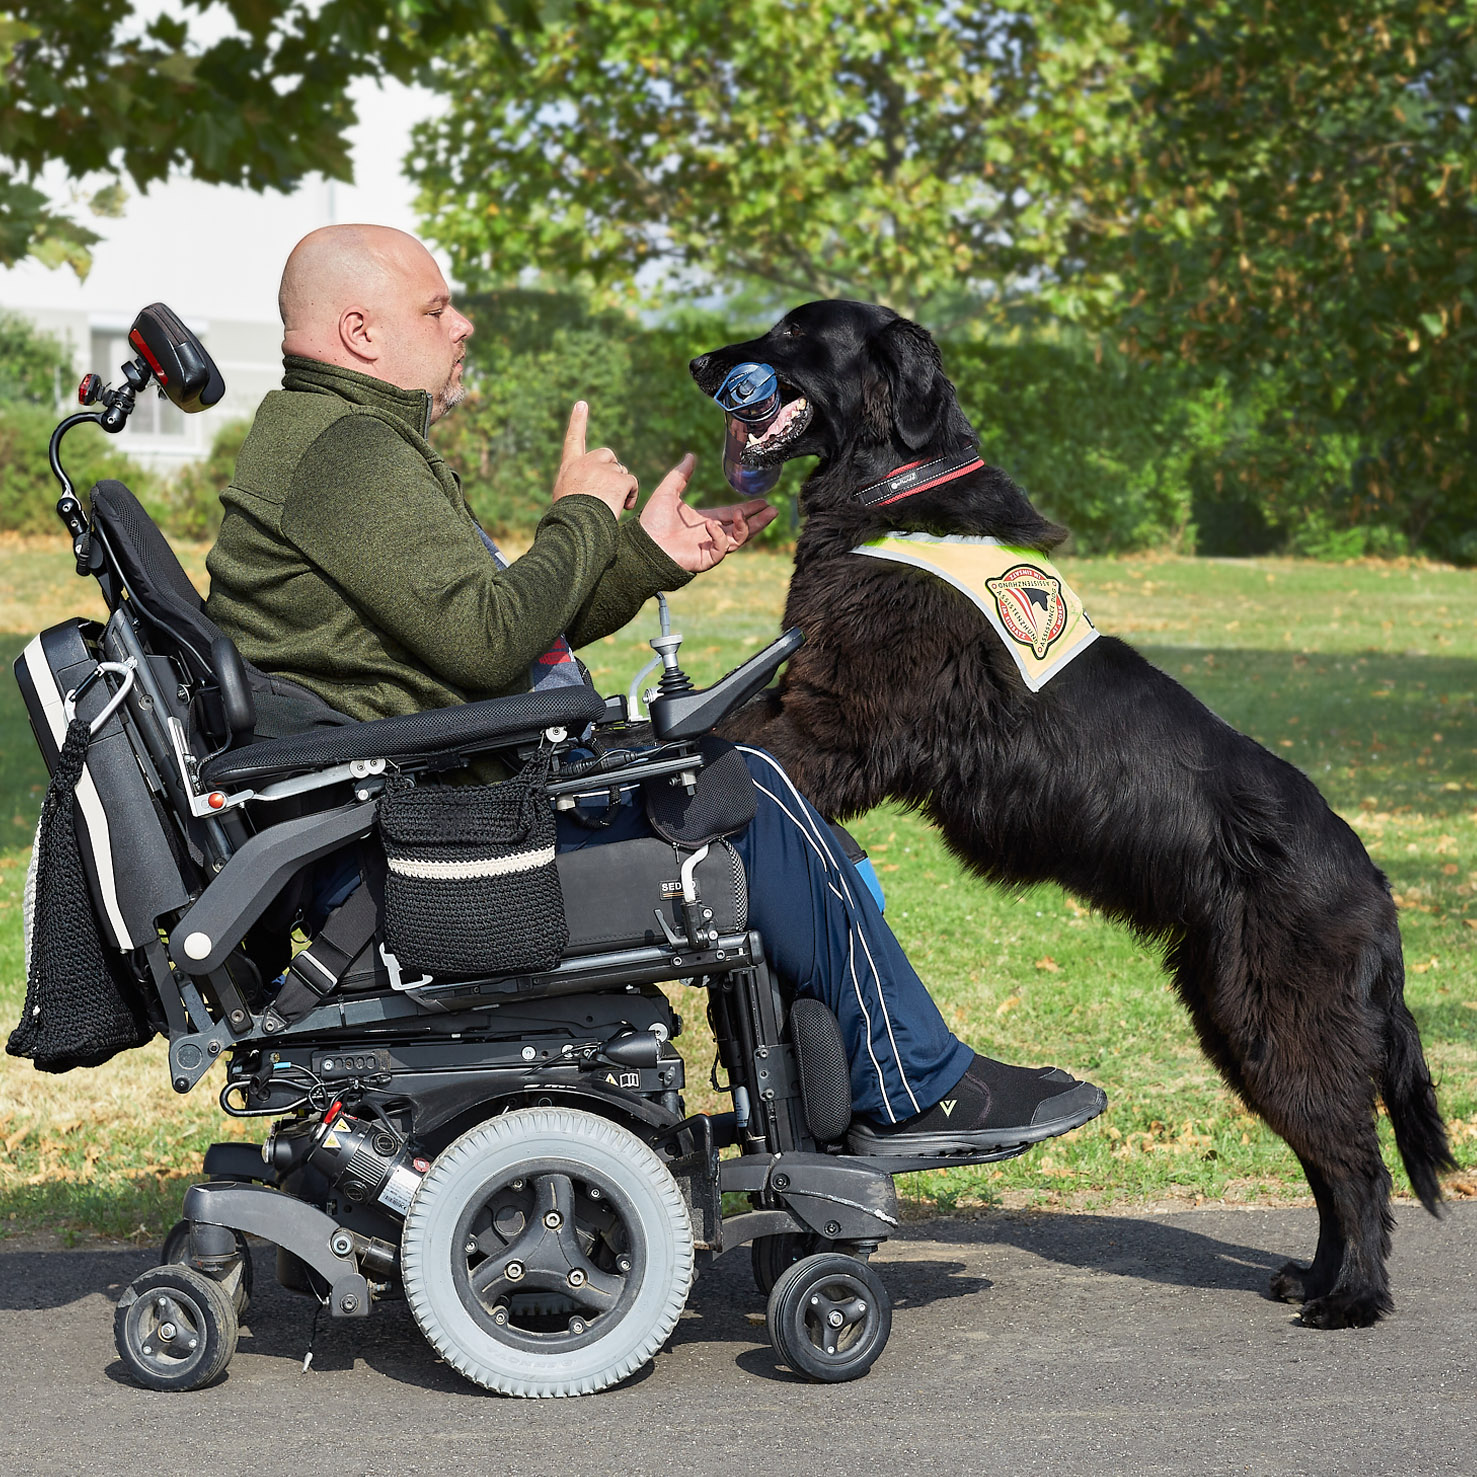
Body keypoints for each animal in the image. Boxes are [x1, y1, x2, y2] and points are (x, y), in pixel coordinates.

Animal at [691, 299, 1453, 1329]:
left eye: (793, 332)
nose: (700, 362)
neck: (894, 487)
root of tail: (1377, 888)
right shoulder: (808, 702)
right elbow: (722, 725)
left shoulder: (837, 726)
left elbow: (738, 746)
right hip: (1245, 1025)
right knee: (1329, 1166)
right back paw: (1317, 1276)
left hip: (1286, 1027)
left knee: (1358, 1170)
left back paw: (1355, 1298)